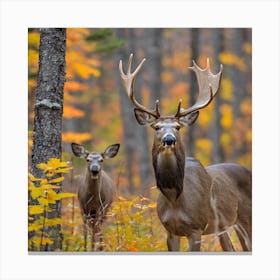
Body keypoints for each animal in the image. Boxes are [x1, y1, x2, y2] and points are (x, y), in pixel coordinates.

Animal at [118, 54, 252, 252]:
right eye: (156, 127)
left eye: (178, 127)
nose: (169, 139)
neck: (175, 199)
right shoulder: (170, 230)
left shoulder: (196, 228)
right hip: (224, 225)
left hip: (246, 216)